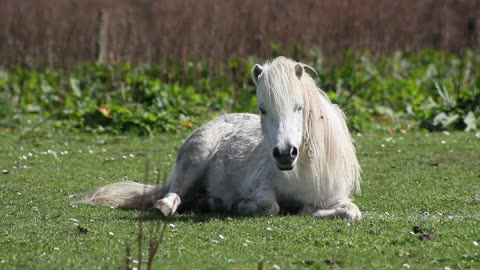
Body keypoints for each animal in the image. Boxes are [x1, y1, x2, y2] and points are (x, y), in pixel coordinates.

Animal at [82, 57, 360, 219]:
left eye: (299, 107)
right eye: (262, 109)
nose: (284, 154)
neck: (302, 171)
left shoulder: (336, 196)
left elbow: (350, 212)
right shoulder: (260, 186)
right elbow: (270, 206)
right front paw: (242, 206)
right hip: (195, 159)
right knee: (172, 195)